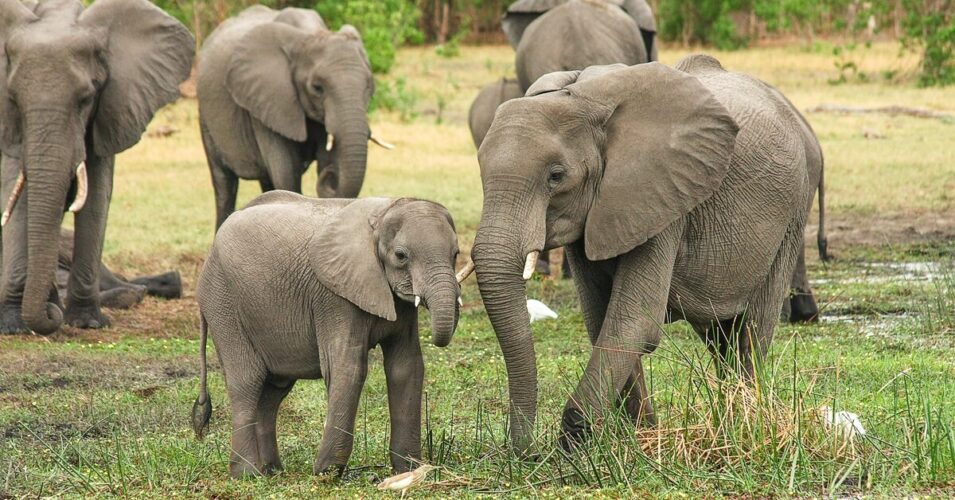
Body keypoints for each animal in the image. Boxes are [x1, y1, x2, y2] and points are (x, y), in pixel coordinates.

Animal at [0, 0, 194, 335]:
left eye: (85, 99)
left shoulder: (111, 108)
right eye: (14, 99)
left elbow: (96, 195)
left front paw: (87, 321)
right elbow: (16, 194)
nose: (50, 314)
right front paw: (13, 325)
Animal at [192, 191, 464, 478]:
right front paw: (327, 473)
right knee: (247, 381)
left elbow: (406, 367)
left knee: (273, 391)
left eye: (456, 254)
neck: (383, 214)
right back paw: (248, 474)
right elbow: (348, 367)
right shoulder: (334, 297)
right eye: (401, 256)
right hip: (222, 302)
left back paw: (272, 471)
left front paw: (409, 470)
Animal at [198, 5, 391, 231]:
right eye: (317, 88)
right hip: (206, 116)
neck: (310, 35)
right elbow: (286, 172)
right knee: (224, 184)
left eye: (369, 86)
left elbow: (325, 159)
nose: (331, 176)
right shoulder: (268, 101)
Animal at [467, 56, 821, 453]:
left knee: (752, 328)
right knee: (720, 336)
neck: (581, 99)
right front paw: (640, 437)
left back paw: (744, 423)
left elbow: (634, 321)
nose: (526, 452)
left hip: (792, 212)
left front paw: (575, 441)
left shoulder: (663, 196)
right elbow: (601, 318)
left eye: (556, 176)